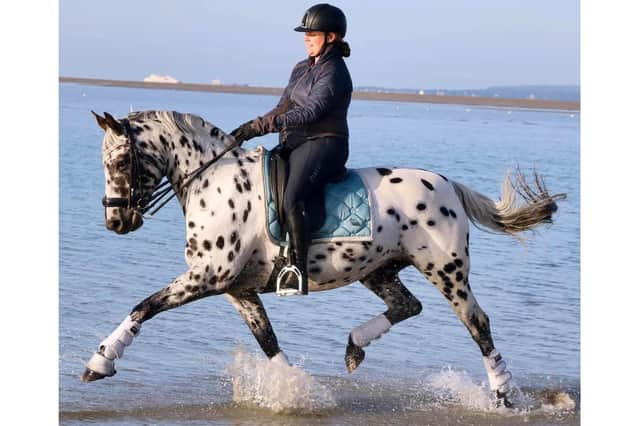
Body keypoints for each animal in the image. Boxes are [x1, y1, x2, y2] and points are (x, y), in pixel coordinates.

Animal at [84, 108, 564, 408]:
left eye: (122, 161)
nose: (116, 222)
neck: (214, 180)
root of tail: (448, 185)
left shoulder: (207, 277)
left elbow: (144, 306)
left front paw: (100, 361)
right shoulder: (237, 290)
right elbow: (268, 341)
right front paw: (297, 390)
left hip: (447, 271)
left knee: (478, 325)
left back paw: (504, 395)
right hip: (379, 270)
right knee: (407, 305)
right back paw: (354, 347)